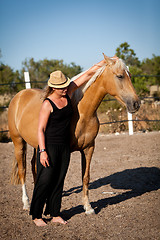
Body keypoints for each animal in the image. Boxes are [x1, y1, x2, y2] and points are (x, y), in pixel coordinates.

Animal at [7, 54, 140, 214]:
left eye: (130, 75)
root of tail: (19, 96)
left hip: (36, 145)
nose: (136, 104)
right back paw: (26, 203)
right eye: (120, 76)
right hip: (19, 143)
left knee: (33, 166)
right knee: (22, 170)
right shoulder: (65, 151)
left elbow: (85, 177)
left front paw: (88, 207)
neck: (82, 112)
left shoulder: (88, 149)